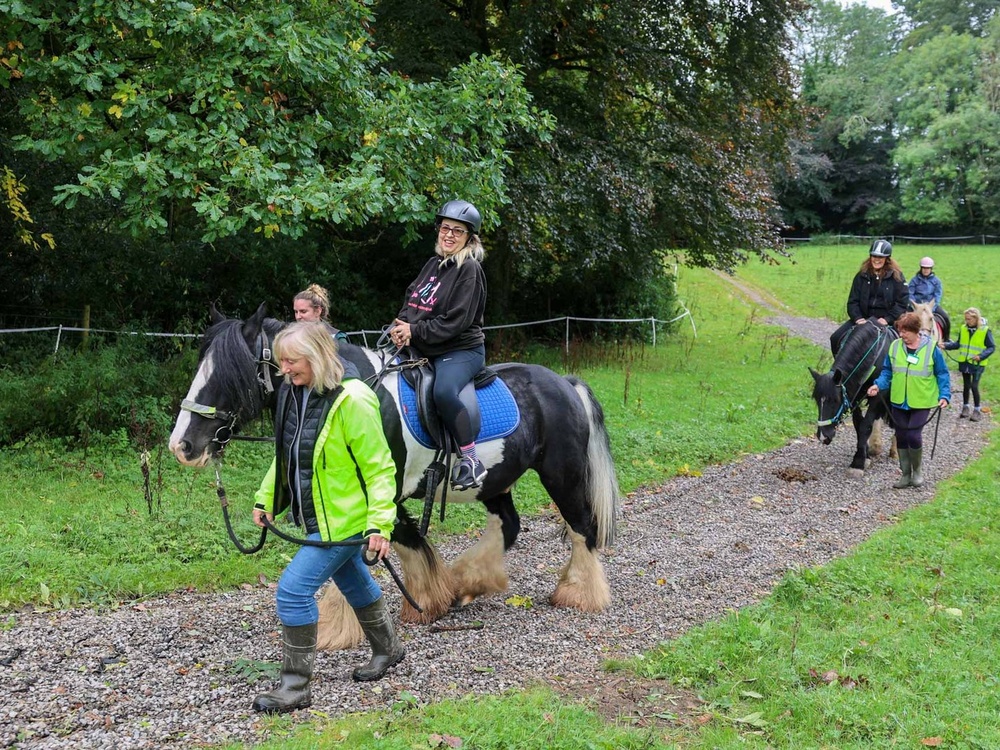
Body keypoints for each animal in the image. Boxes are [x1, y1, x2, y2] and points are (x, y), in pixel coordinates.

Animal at [169, 306, 620, 652]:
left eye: (230, 374)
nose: (182, 445)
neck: (349, 391)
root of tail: (565, 383)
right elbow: (399, 544)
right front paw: (431, 598)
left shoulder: (376, 493)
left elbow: (373, 549)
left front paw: (334, 627)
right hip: (495, 481)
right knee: (508, 525)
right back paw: (470, 583)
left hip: (561, 475)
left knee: (582, 527)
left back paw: (579, 593)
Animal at [808, 318, 896, 476]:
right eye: (817, 400)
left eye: (835, 400)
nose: (824, 436)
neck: (873, 354)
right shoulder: (853, 394)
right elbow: (858, 424)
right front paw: (865, 456)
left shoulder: (878, 395)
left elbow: (866, 425)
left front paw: (858, 463)